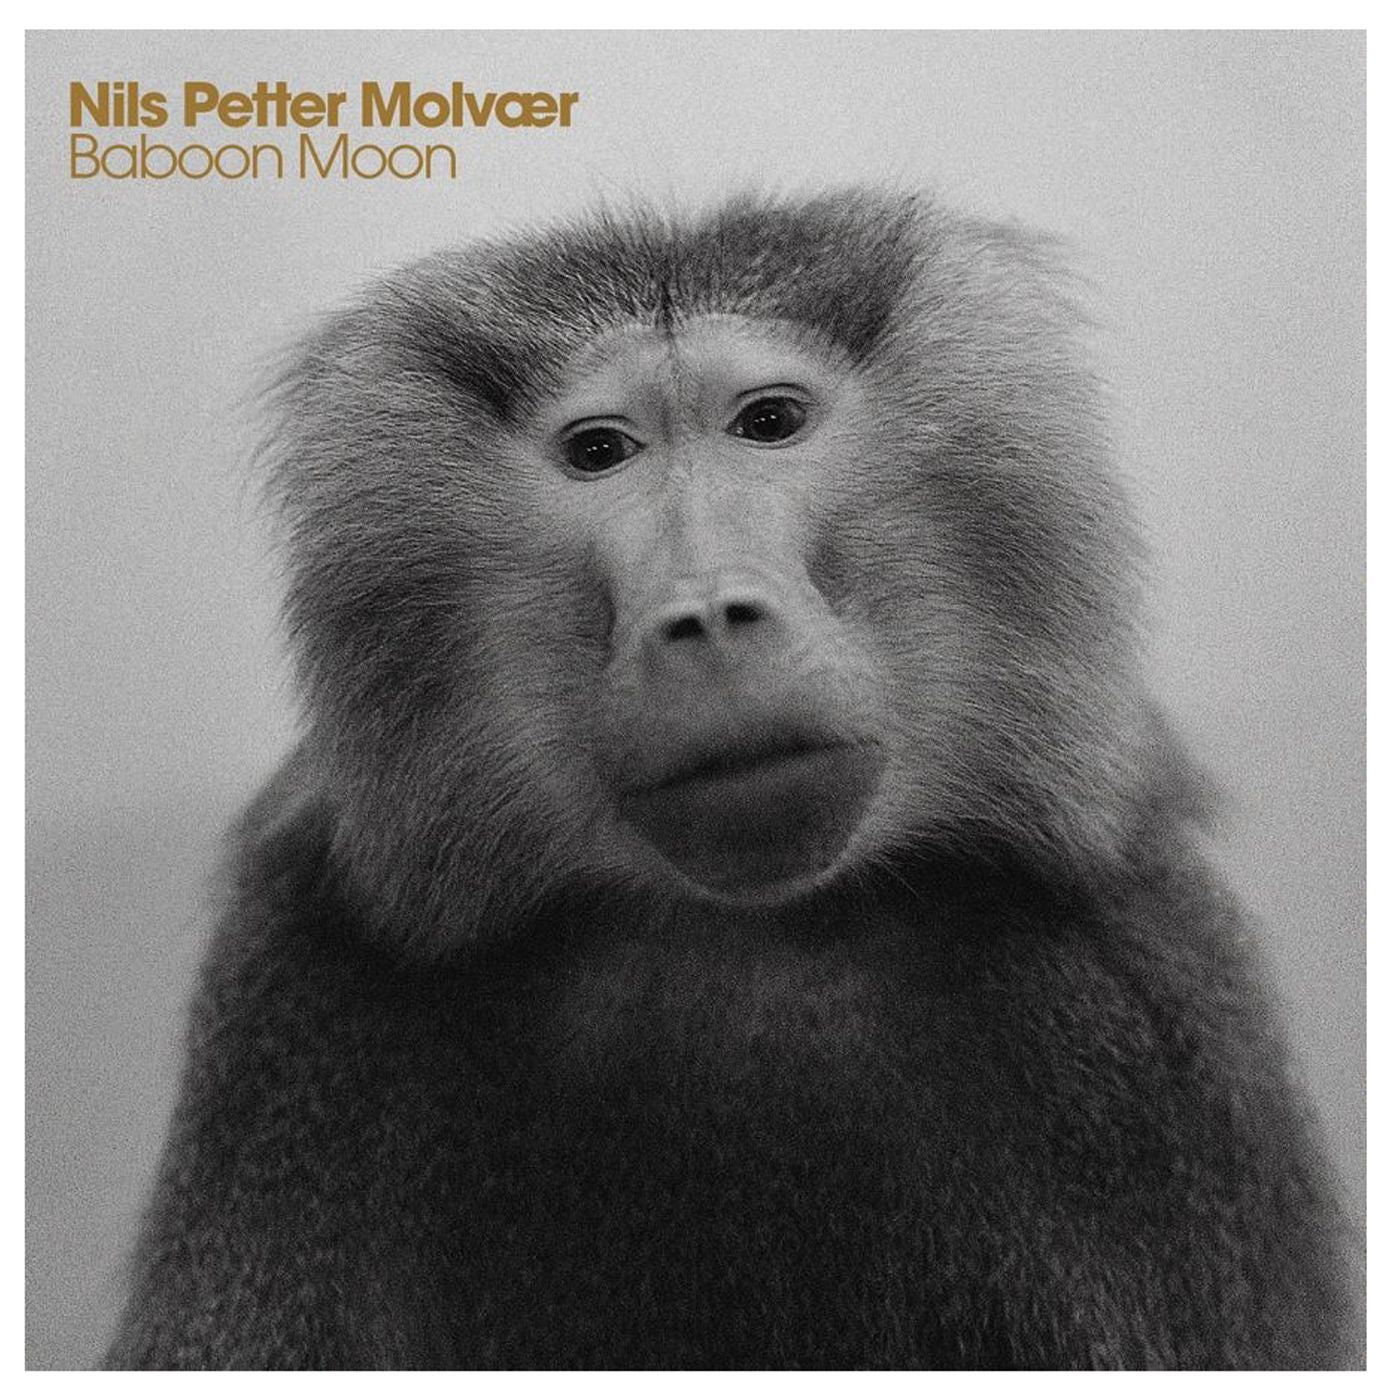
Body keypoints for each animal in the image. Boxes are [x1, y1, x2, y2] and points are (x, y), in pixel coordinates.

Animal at [105, 189, 1354, 1370]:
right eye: (599, 452)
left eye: (768, 424)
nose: (707, 614)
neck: (742, 931)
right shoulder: (298, 1008)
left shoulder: (1134, 1008)